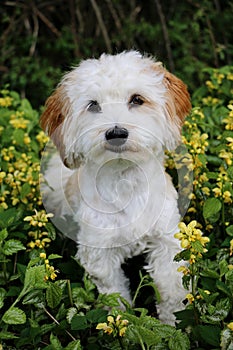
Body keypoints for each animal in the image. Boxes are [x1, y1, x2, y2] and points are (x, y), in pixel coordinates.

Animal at [40, 50, 191, 324]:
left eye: (137, 99)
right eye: (93, 105)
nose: (116, 132)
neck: (125, 179)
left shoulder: (167, 241)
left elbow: (171, 288)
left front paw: (172, 323)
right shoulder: (100, 254)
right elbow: (115, 295)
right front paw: (122, 325)